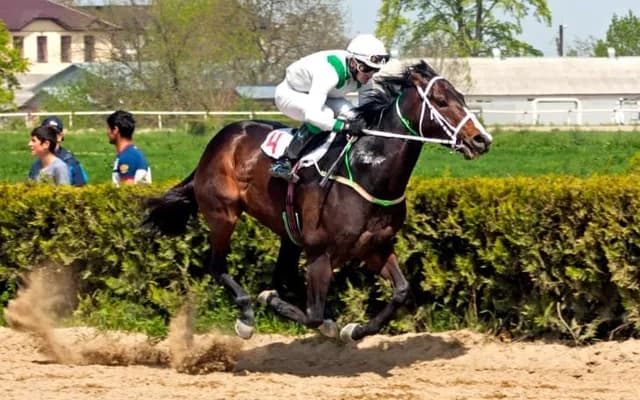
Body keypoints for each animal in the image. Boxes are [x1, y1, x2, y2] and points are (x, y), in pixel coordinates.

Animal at [143, 60, 492, 342]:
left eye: (463, 98)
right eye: (441, 101)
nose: (481, 140)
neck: (367, 171)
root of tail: (222, 138)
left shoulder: (375, 247)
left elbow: (401, 291)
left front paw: (355, 329)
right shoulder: (321, 254)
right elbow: (312, 315)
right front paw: (274, 302)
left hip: (288, 233)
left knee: (282, 275)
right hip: (223, 214)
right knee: (217, 267)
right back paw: (246, 316)